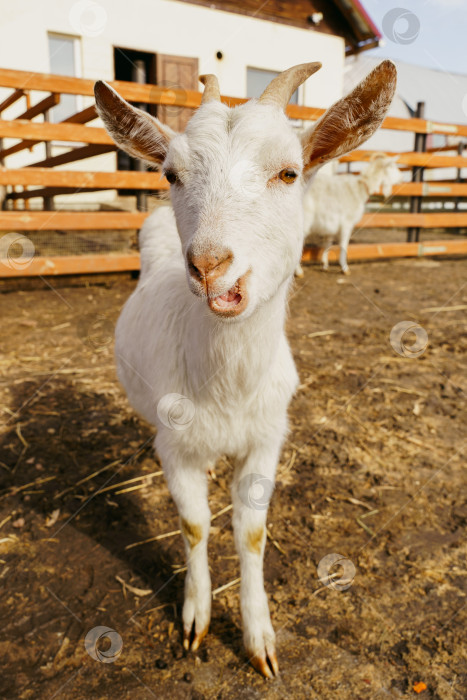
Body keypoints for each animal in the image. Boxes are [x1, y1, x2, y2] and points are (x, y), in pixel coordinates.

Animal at [95, 60, 398, 680]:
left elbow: (252, 532)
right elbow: (194, 524)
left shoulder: (266, 438)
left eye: (289, 172)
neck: (226, 387)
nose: (210, 265)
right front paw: (196, 620)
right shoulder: (177, 447)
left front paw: (260, 638)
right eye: (171, 173)